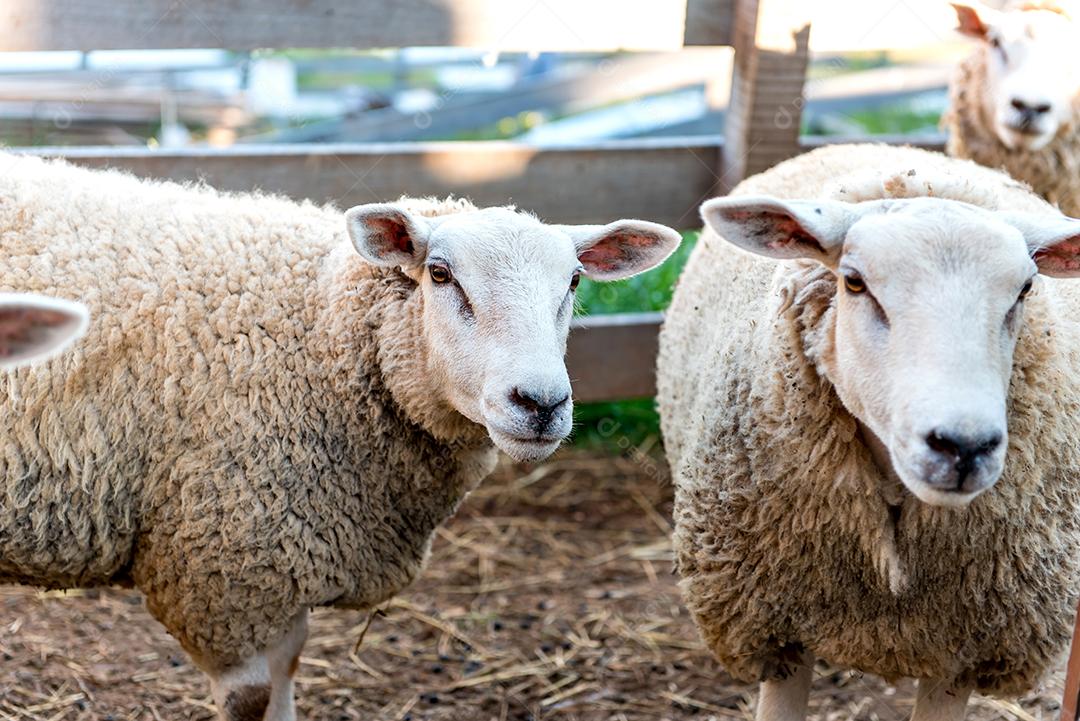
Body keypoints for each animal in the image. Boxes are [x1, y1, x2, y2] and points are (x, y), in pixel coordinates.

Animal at [0, 155, 678, 721]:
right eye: (439, 274)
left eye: (574, 282)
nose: (540, 404)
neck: (320, 328)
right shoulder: (222, 566)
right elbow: (251, 698)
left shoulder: (284, 553)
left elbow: (287, 672)